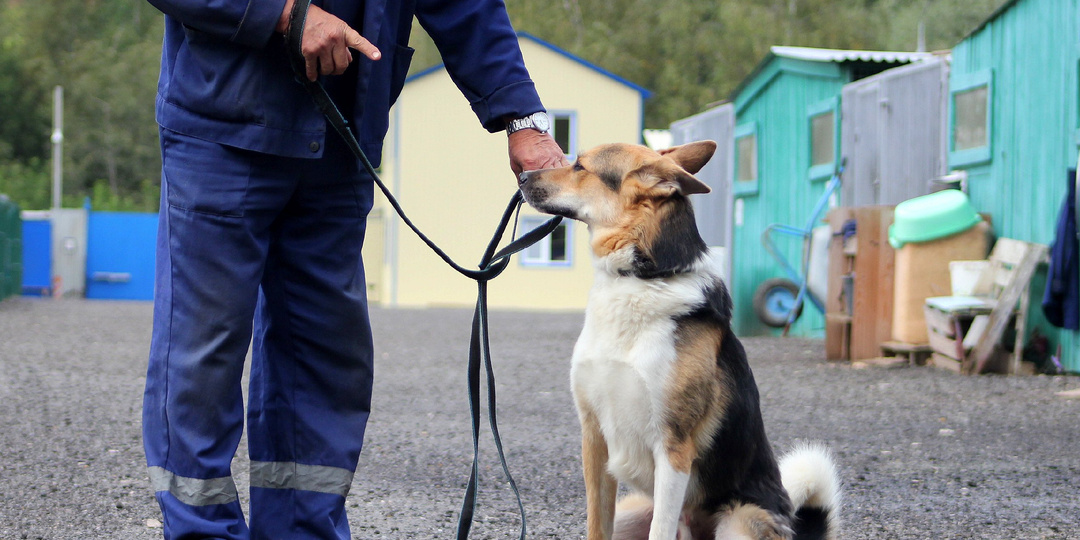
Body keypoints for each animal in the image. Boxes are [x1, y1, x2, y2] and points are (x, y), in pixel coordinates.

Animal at [518, 141, 838, 537]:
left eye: (580, 166)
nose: (522, 175)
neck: (641, 277)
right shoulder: (593, 439)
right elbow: (596, 524)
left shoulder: (673, 447)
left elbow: (661, 529)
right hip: (631, 513)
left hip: (738, 523)